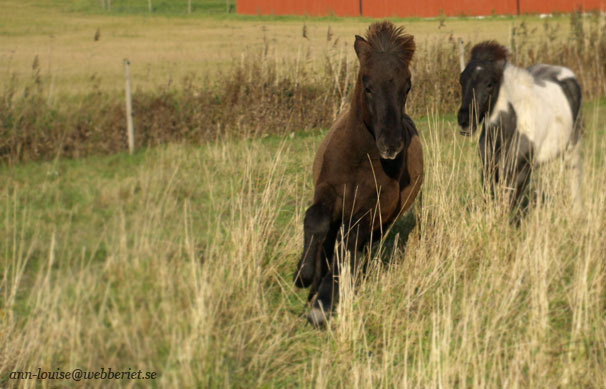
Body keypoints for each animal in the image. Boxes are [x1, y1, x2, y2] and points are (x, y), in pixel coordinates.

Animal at [294, 20, 422, 324]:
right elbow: (315, 221)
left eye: (407, 86)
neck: (358, 161)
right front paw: (304, 275)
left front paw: (322, 304)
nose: (391, 144)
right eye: (367, 84)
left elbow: (348, 247)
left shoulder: (370, 210)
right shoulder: (327, 191)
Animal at [460, 41, 584, 215]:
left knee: (573, 175)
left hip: (572, 147)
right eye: (461, 80)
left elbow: (510, 206)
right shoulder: (489, 169)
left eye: (489, 83)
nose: (464, 120)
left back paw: (577, 212)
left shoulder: (519, 173)